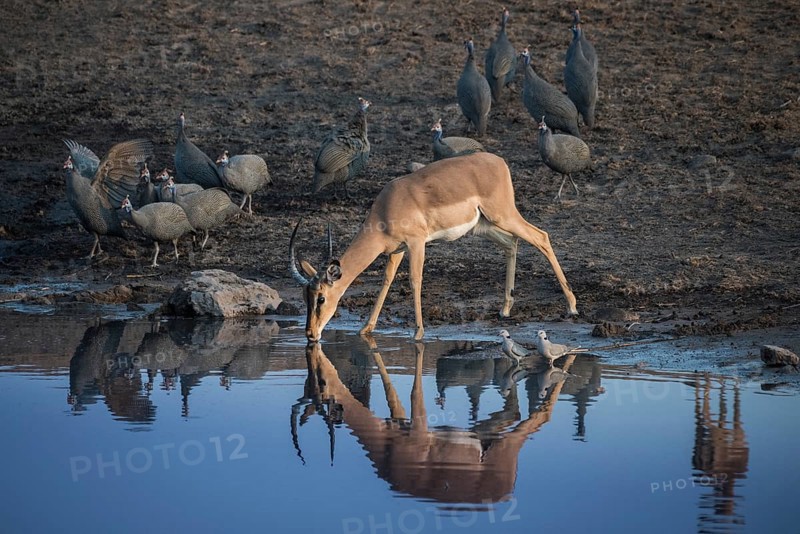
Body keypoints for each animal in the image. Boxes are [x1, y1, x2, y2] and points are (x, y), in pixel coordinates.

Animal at [290, 152, 578, 342]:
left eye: (321, 297)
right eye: (305, 296)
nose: (311, 334)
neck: (387, 208)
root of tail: (498, 161)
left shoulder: (417, 243)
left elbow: (415, 280)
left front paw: (418, 332)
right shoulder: (396, 251)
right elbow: (387, 280)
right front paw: (366, 329)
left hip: (503, 215)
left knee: (541, 237)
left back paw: (572, 306)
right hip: (483, 225)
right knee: (512, 243)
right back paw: (505, 309)